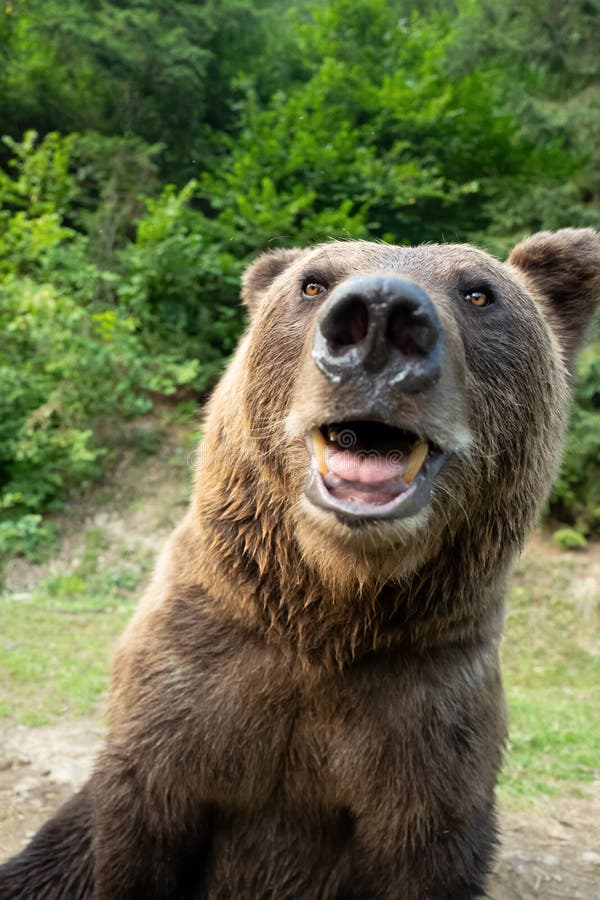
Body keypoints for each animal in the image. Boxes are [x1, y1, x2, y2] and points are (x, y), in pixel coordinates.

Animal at [1, 228, 599, 900]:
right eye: (313, 282)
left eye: (479, 292)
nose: (381, 317)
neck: (326, 610)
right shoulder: (188, 694)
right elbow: (141, 828)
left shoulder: (426, 720)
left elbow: (425, 843)